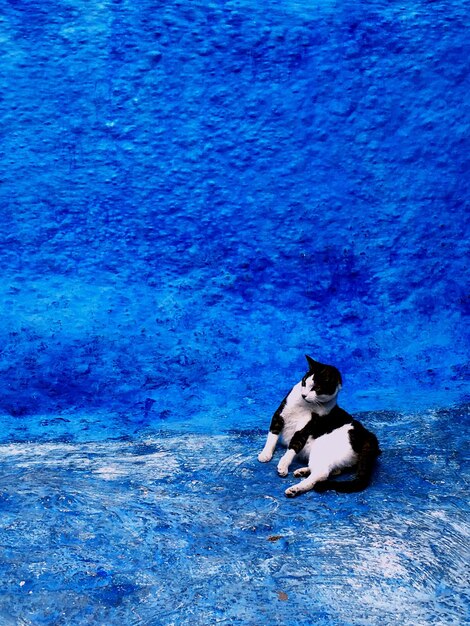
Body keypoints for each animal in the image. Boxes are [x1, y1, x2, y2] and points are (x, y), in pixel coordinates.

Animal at [258, 356, 380, 498]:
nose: (304, 395)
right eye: (304, 382)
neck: (305, 404)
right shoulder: (279, 416)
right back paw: (303, 471)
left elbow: (293, 446)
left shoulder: (305, 428)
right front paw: (265, 454)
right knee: (333, 471)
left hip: (321, 448)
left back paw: (295, 489)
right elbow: (272, 436)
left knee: (321, 474)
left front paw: (283, 464)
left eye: (316, 388)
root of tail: (367, 435)